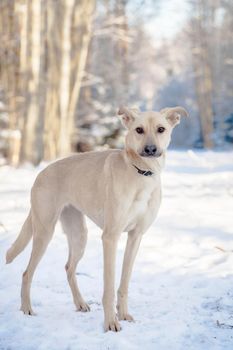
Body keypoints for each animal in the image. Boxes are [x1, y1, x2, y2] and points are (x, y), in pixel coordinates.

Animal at [5, 105, 187, 332]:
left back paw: (80, 303)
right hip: (44, 232)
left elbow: (124, 283)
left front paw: (124, 314)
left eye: (161, 129)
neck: (141, 172)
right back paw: (26, 309)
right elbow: (108, 287)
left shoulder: (136, 236)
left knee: (69, 268)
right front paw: (111, 322)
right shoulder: (110, 237)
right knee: (27, 273)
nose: (151, 149)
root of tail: (41, 173)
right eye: (139, 130)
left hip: (79, 235)